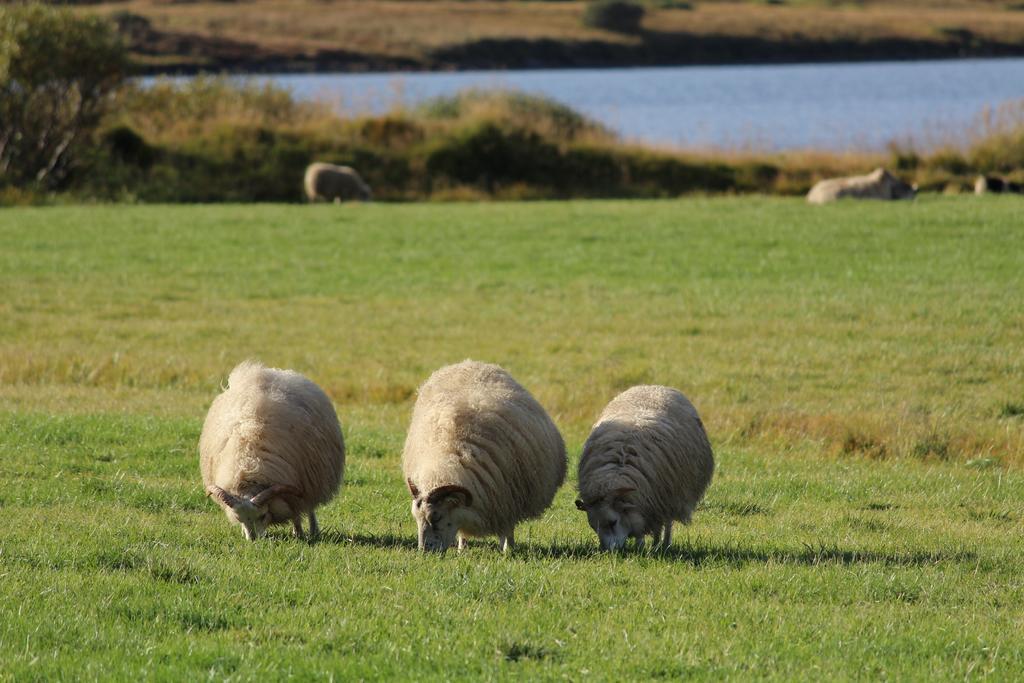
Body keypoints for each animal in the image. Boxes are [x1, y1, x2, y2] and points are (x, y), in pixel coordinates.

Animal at [197, 360, 346, 540]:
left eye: (262, 515)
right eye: (239, 518)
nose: (253, 540)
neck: (249, 463)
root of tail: (273, 372)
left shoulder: (296, 489)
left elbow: (297, 513)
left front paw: (299, 533)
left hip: (313, 478)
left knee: (310, 507)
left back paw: (313, 531)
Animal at [401, 360, 569, 552]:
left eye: (436, 517)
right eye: (416, 518)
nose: (424, 552)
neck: (450, 456)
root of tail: (469, 362)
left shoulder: (508, 497)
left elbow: (507, 527)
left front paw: (508, 551)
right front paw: (462, 549)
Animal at [577, 387, 712, 552]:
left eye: (613, 522)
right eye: (593, 526)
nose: (608, 551)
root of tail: (655, 386)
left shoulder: (652, 500)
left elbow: (643, 529)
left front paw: (641, 548)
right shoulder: (645, 502)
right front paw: (640, 547)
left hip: (671, 498)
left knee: (666, 522)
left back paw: (663, 545)